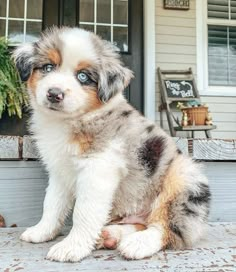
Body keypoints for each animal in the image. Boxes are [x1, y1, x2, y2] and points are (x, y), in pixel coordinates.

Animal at [13, 27, 211, 262]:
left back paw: (138, 243)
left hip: (183, 181)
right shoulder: (60, 172)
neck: (69, 121)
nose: (54, 94)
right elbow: (52, 203)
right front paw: (41, 231)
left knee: (166, 226)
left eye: (83, 76)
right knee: (140, 222)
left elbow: (84, 211)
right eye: (47, 67)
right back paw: (110, 235)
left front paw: (71, 247)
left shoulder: (98, 168)